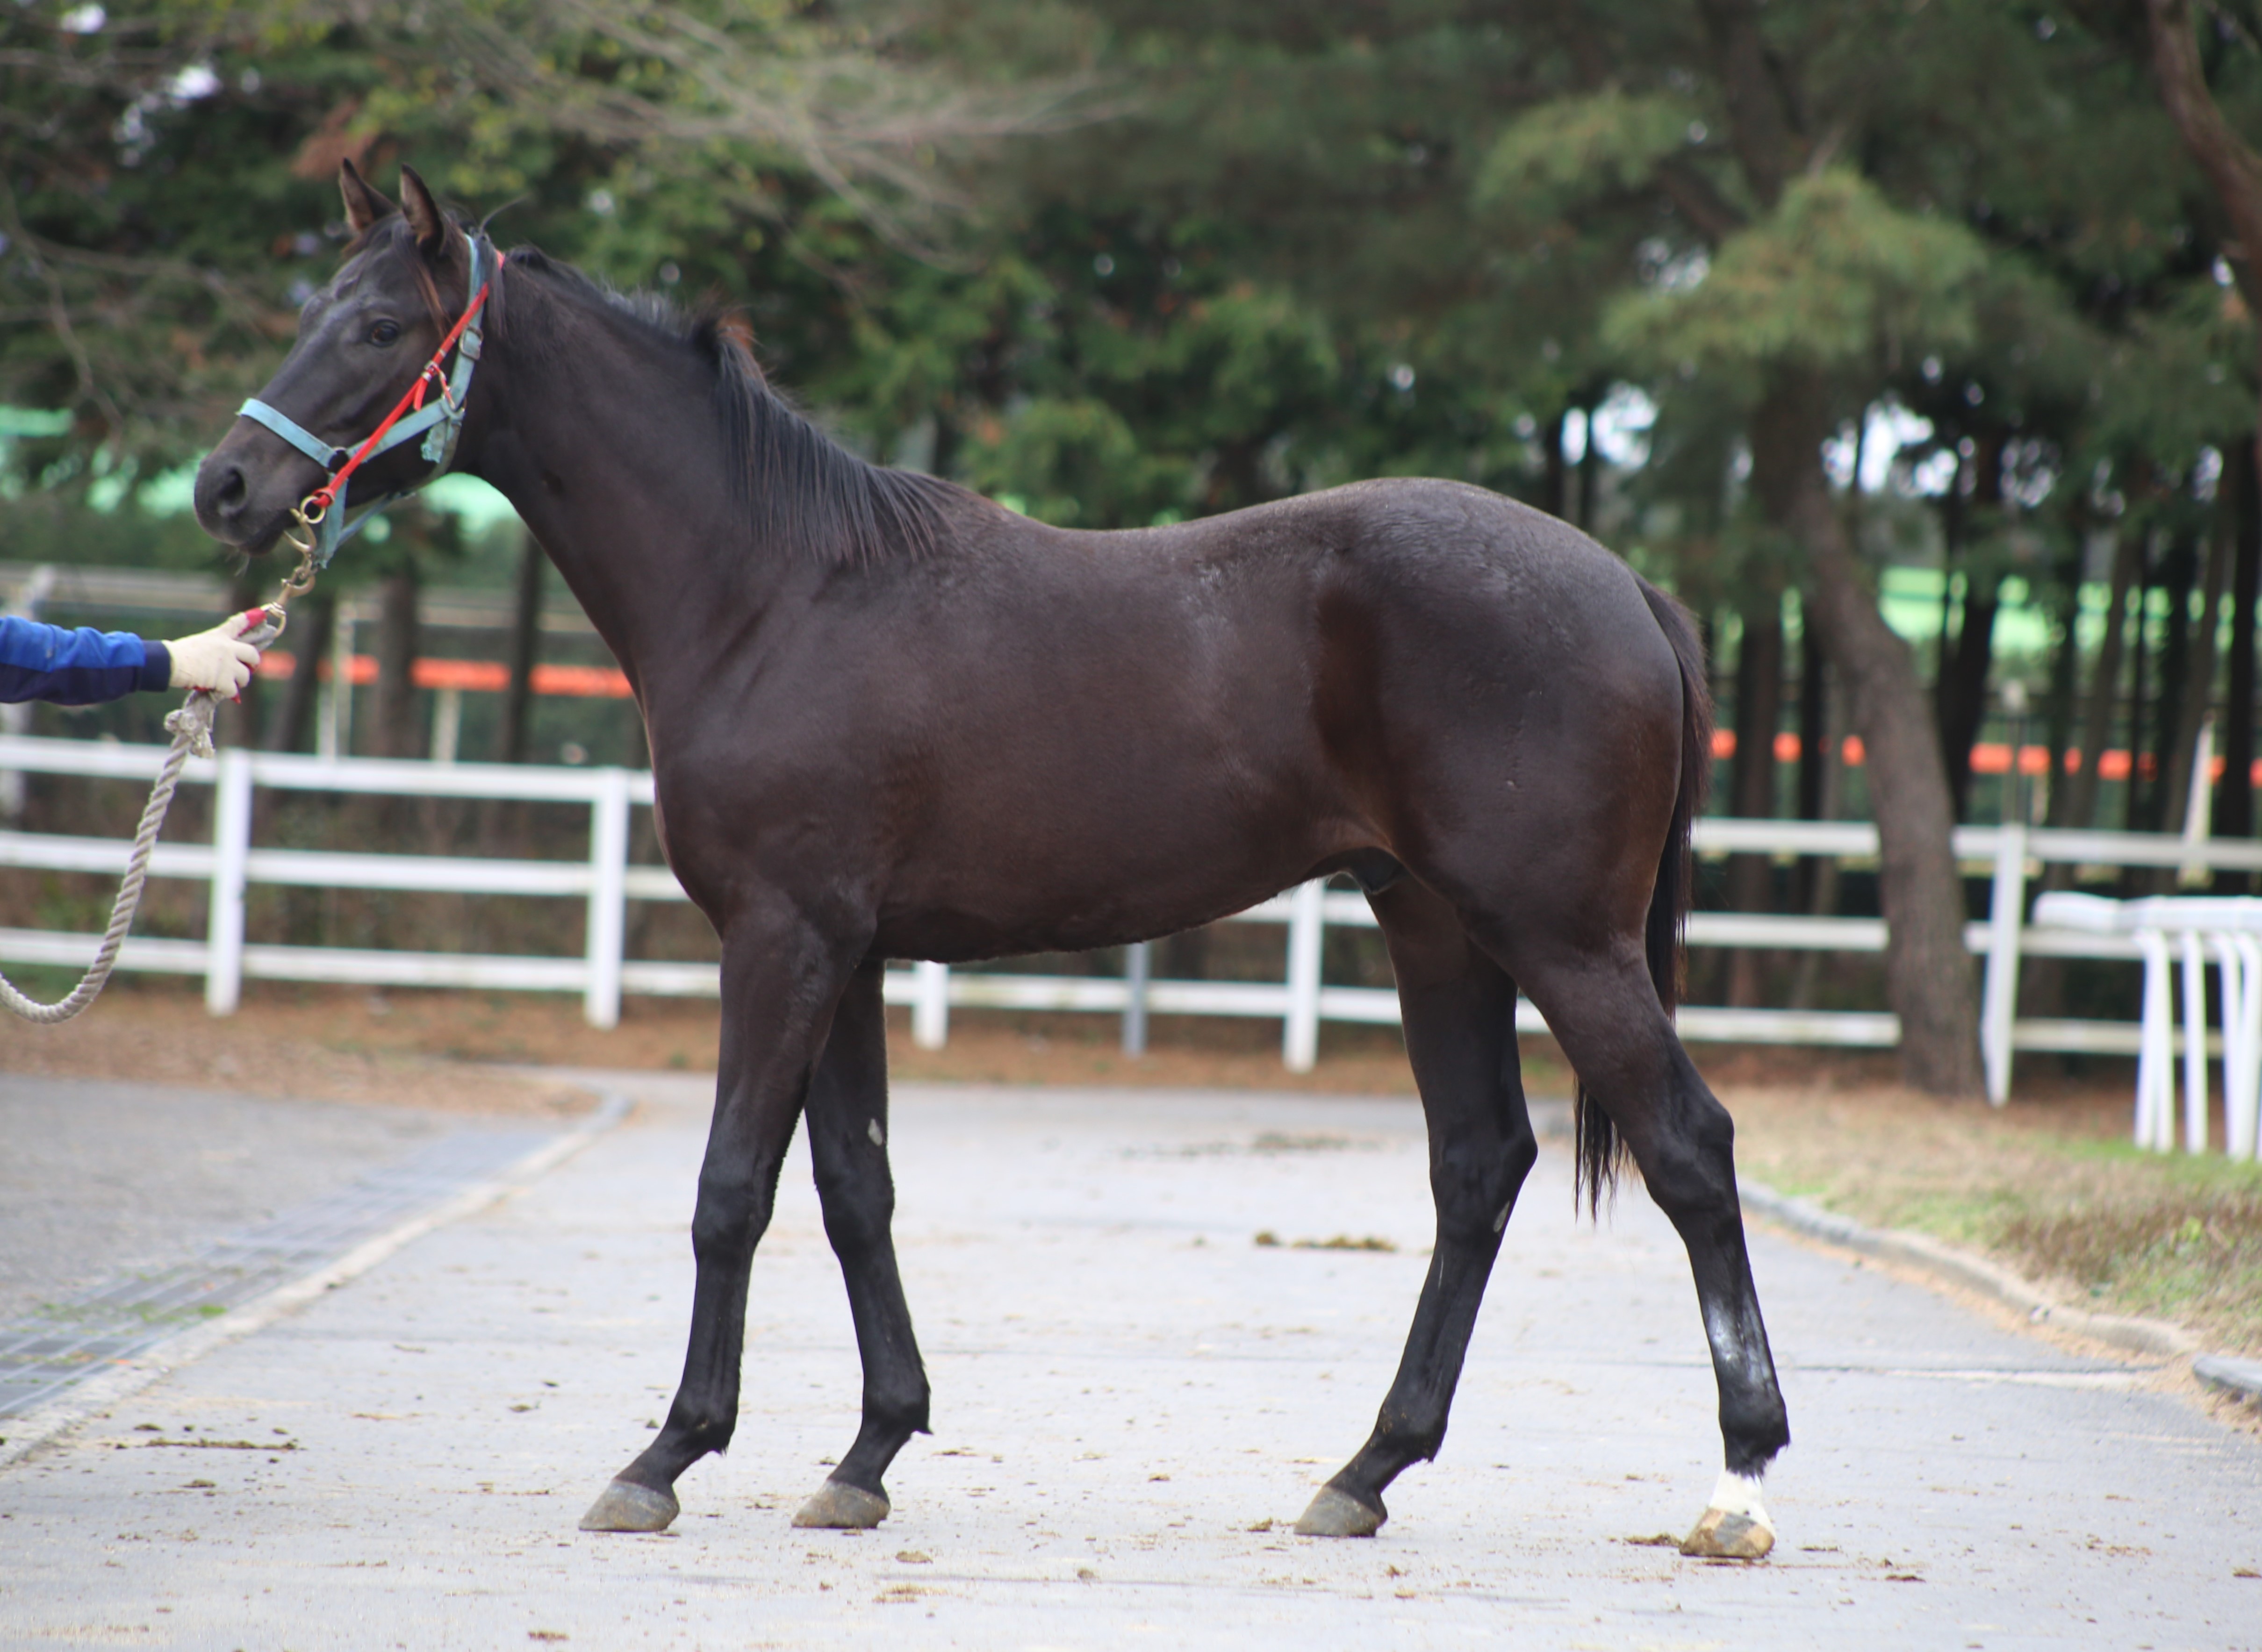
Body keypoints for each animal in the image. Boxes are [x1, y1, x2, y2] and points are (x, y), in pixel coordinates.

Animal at [194, 168, 1782, 1564]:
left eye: (377, 326)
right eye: (315, 306)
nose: (226, 483)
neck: (774, 591)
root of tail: (1628, 588)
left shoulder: (777, 939)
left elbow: (731, 1188)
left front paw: (664, 1454)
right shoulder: (843, 951)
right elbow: (854, 1188)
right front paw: (864, 1453)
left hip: (1560, 938)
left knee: (1687, 1148)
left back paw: (1738, 1480)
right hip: (1436, 928)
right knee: (1477, 1166)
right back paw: (1362, 1471)